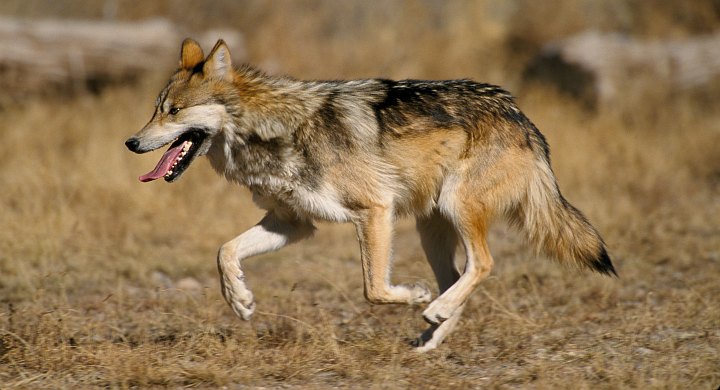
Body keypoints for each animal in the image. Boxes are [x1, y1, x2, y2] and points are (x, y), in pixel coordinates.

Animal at [125, 38, 620, 350]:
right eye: (155, 110)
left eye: (174, 111)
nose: (130, 142)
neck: (273, 130)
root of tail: (521, 115)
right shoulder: (293, 223)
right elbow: (224, 251)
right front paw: (240, 300)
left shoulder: (374, 211)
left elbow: (374, 289)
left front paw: (414, 296)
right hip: (430, 228)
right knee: (459, 277)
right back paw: (431, 336)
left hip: (455, 209)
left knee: (482, 264)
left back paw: (433, 309)